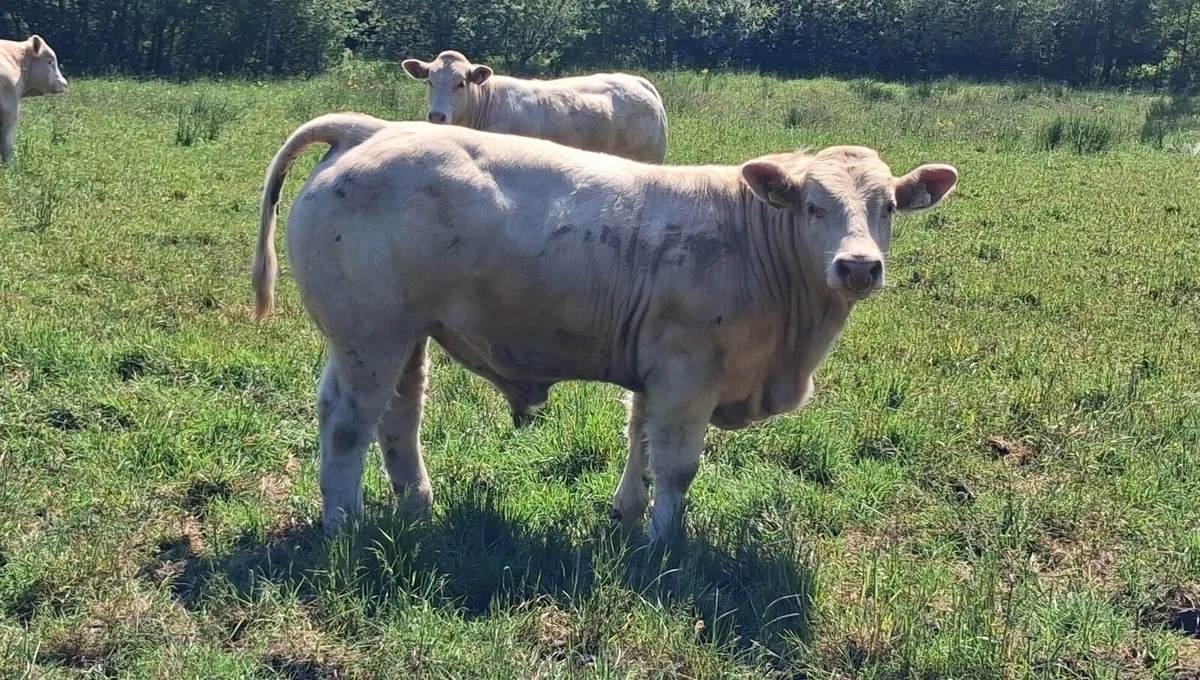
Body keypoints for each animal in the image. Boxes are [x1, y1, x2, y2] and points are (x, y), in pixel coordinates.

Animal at [251, 112, 959, 541]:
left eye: (887, 206)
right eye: (813, 206)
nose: (858, 266)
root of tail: (370, 129)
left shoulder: (657, 374)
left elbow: (639, 443)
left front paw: (627, 515)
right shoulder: (686, 375)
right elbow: (676, 465)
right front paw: (667, 543)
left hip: (402, 337)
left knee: (398, 417)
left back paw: (417, 507)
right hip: (369, 336)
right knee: (350, 424)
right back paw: (346, 526)